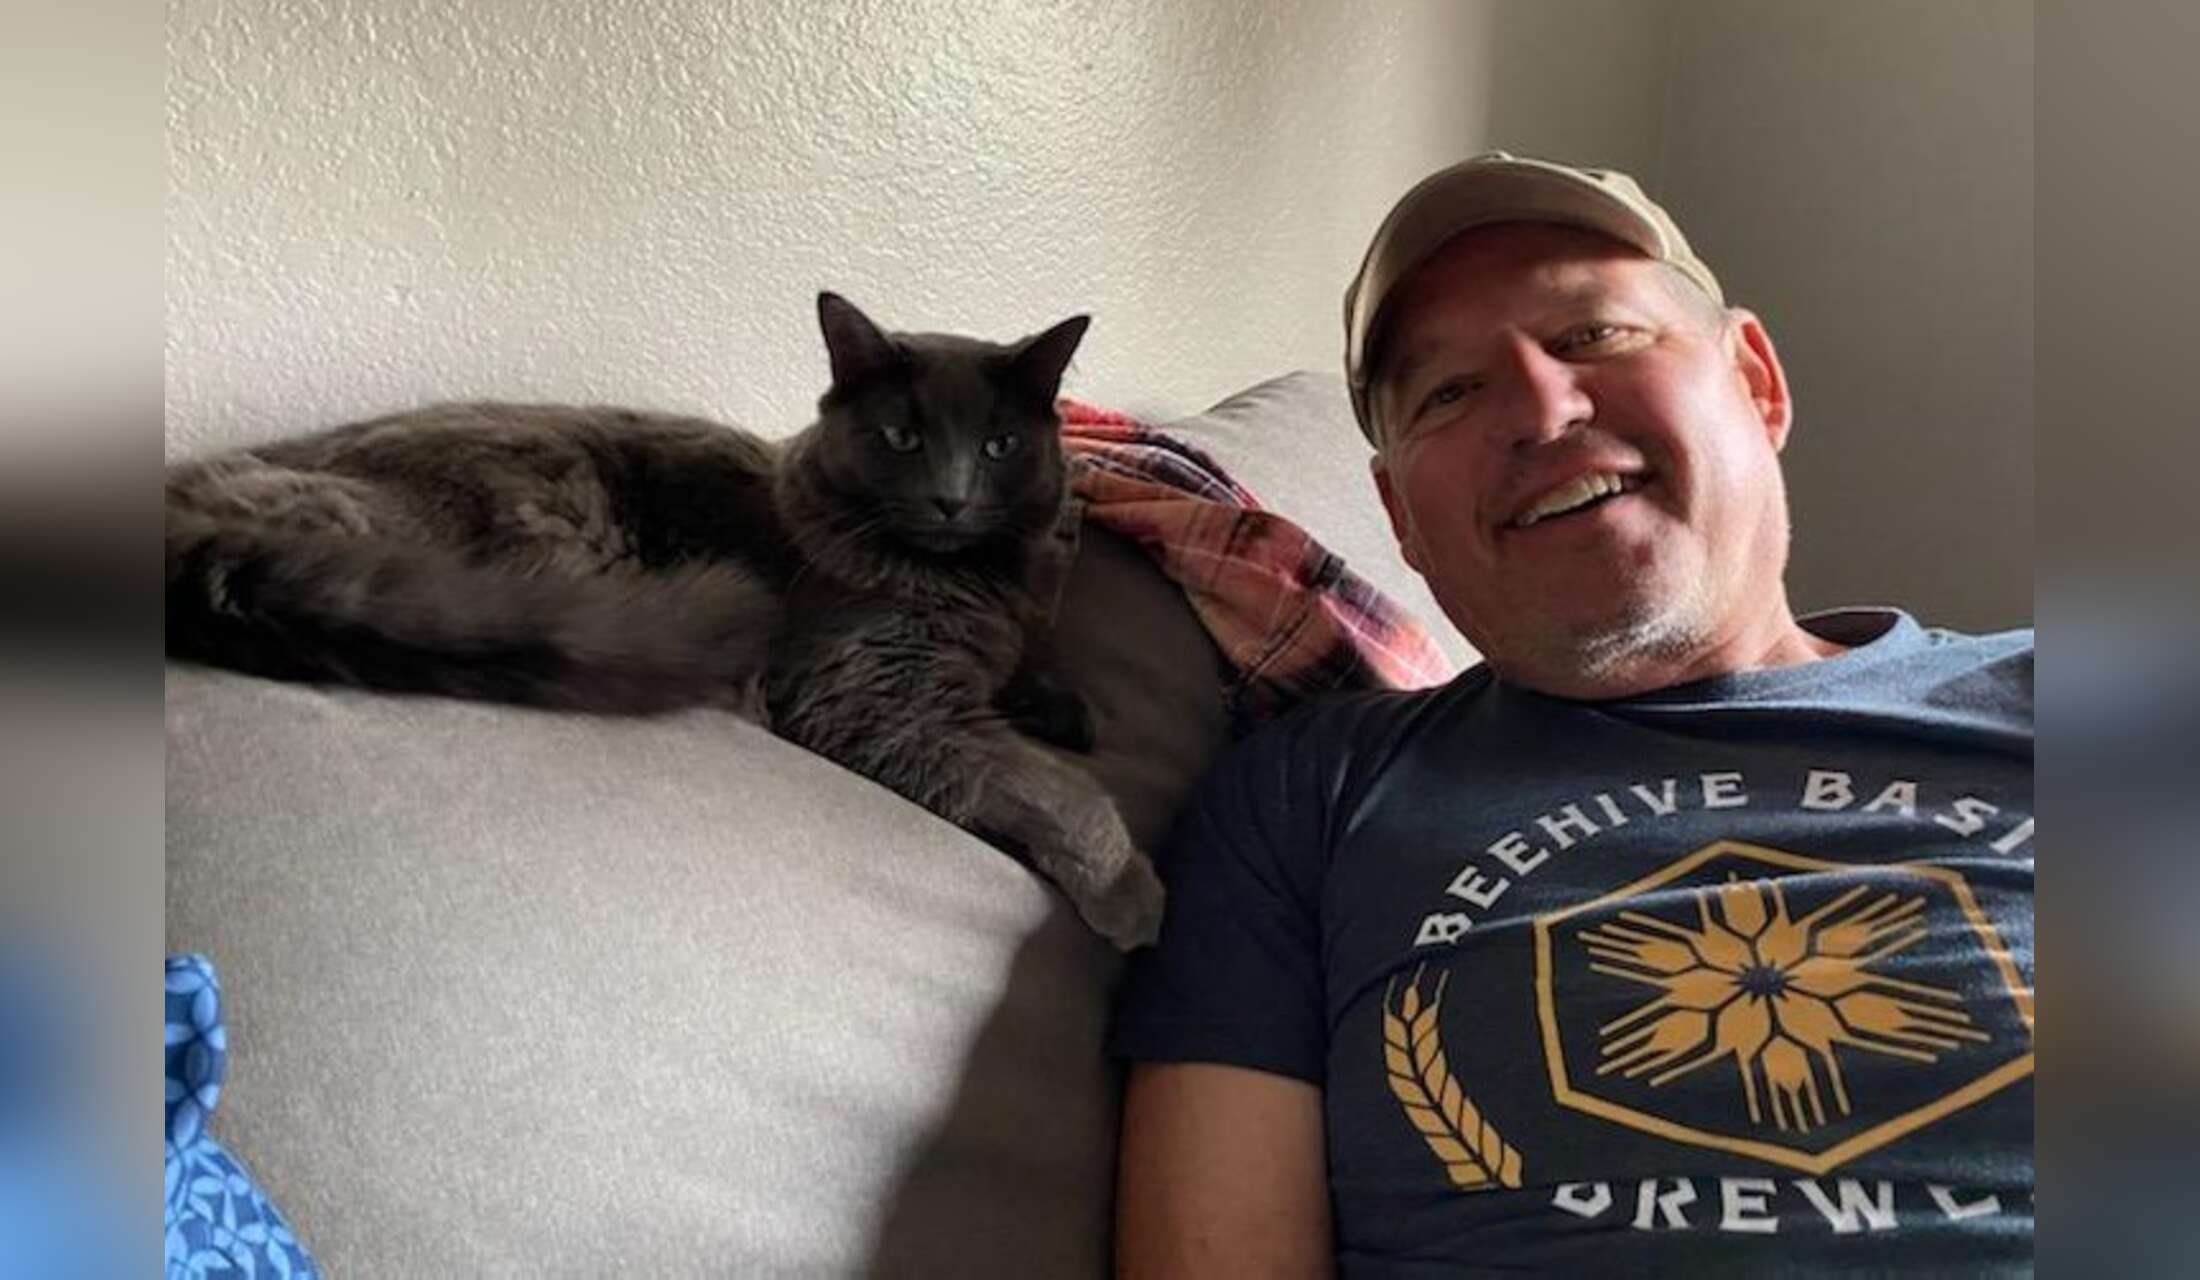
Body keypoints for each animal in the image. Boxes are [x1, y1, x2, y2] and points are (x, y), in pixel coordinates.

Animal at [165, 293, 1165, 949]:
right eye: (902, 437)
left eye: (999, 445)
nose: (952, 499)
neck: (969, 580)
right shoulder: (872, 696)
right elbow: (1065, 790)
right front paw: (1131, 896)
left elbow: (1036, 697)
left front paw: (1060, 703)